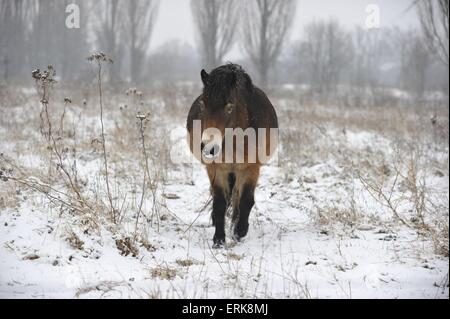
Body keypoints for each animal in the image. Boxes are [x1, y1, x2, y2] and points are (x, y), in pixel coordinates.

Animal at [186, 63, 278, 248]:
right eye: (203, 104)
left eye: (229, 106)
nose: (208, 147)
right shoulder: (217, 168)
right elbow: (220, 202)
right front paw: (219, 239)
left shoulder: (251, 168)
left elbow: (246, 200)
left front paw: (239, 231)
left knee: (237, 197)